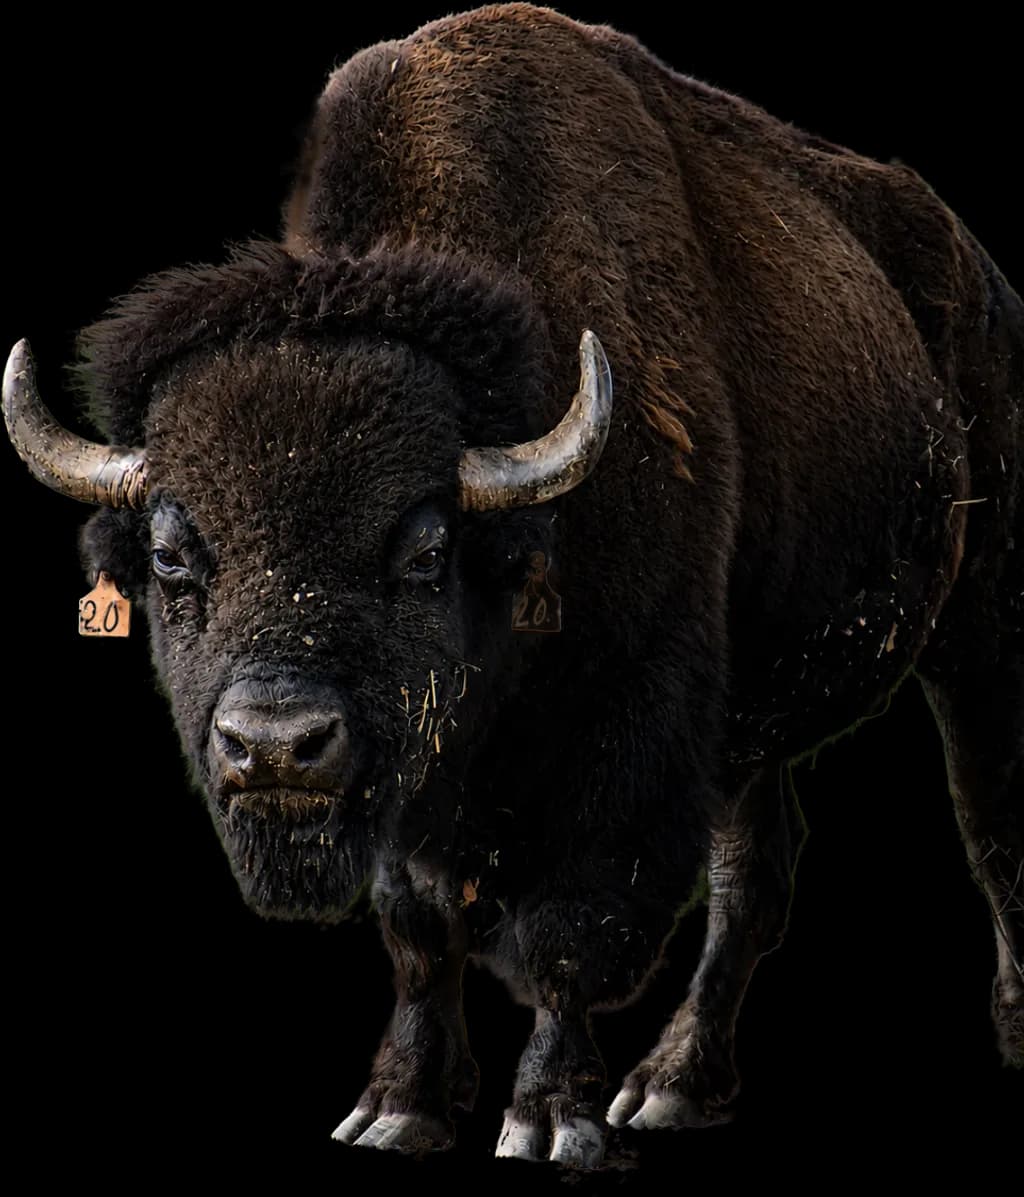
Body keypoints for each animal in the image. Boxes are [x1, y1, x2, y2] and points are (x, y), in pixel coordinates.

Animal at [5, 3, 1020, 1170]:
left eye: (423, 549)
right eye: (173, 554)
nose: (274, 745)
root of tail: (979, 273)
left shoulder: (630, 737)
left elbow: (569, 937)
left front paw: (549, 1122)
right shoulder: (414, 787)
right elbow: (418, 932)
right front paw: (397, 1110)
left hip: (976, 625)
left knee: (987, 823)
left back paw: (1004, 1029)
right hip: (755, 718)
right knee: (755, 875)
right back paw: (674, 1087)